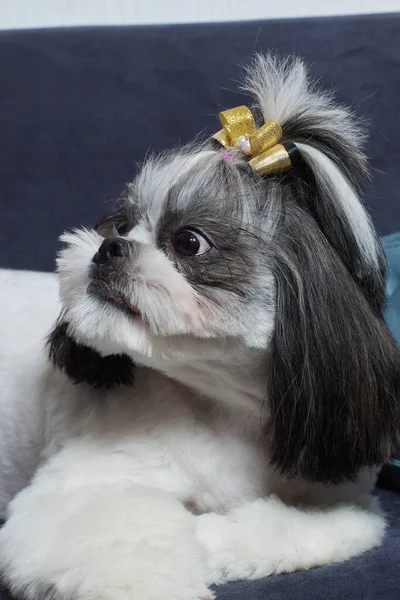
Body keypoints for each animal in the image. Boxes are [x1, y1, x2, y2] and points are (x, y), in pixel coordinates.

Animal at [0, 52, 400, 600]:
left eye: (190, 243)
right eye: (119, 225)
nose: (110, 247)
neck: (226, 411)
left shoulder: (344, 498)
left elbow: (299, 526)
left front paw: (212, 541)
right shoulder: (75, 497)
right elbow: (133, 549)